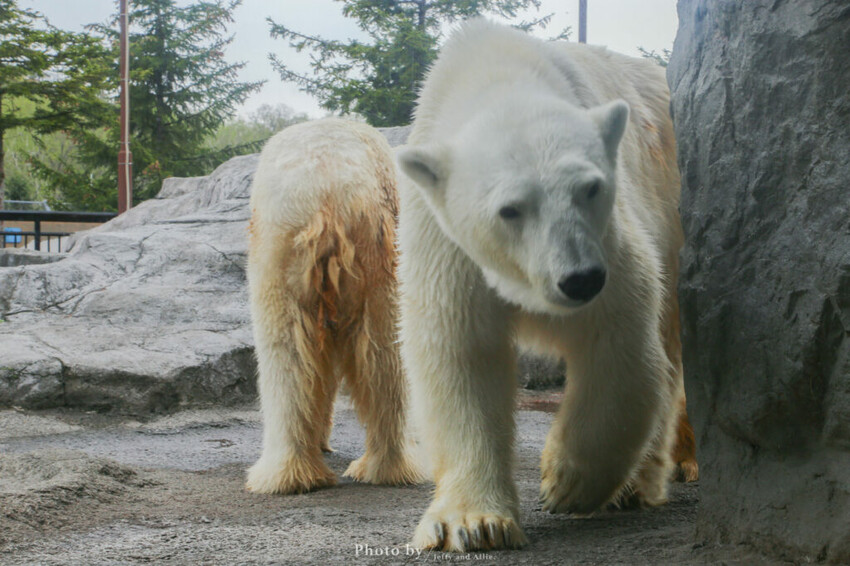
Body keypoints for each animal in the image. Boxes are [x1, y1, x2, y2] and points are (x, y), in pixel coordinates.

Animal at [245, 118, 421, 495]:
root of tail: (327, 190)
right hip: (375, 242)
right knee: (384, 354)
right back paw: (386, 467)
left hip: (278, 246)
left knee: (284, 352)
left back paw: (285, 475)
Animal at [396, 20, 694, 551]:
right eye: (510, 209)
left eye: (590, 187)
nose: (579, 279)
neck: (494, 73)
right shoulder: (446, 244)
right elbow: (460, 354)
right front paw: (475, 524)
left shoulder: (611, 241)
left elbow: (620, 346)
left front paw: (566, 484)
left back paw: (636, 486)